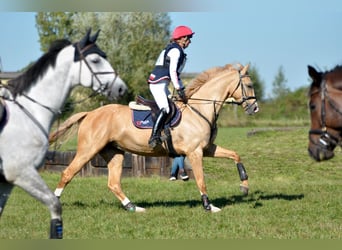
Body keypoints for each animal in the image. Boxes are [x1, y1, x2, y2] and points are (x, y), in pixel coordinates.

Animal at [0, 29, 127, 238]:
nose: (121, 88)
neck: (29, 111)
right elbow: (55, 206)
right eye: (95, 60)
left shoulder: (7, 181)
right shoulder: (21, 172)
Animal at [49, 62, 258, 213]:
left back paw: (133, 207)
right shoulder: (195, 152)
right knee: (67, 173)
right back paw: (54, 203)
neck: (199, 109)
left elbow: (235, 155)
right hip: (88, 150)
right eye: (249, 85)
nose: (254, 108)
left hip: (114, 153)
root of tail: (90, 114)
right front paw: (208, 206)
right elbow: (201, 180)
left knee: (113, 183)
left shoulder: (206, 149)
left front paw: (244, 186)